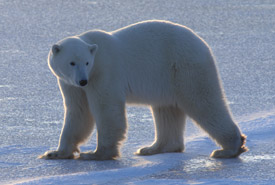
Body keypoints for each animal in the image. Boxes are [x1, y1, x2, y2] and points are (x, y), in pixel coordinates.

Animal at [40, 19, 249, 159]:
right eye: (71, 63)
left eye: (86, 62)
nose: (83, 81)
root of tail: (203, 44)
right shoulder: (69, 83)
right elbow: (79, 111)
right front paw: (56, 152)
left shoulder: (104, 72)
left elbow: (106, 109)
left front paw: (97, 153)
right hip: (167, 79)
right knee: (166, 110)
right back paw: (153, 148)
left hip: (184, 67)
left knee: (203, 102)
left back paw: (229, 148)